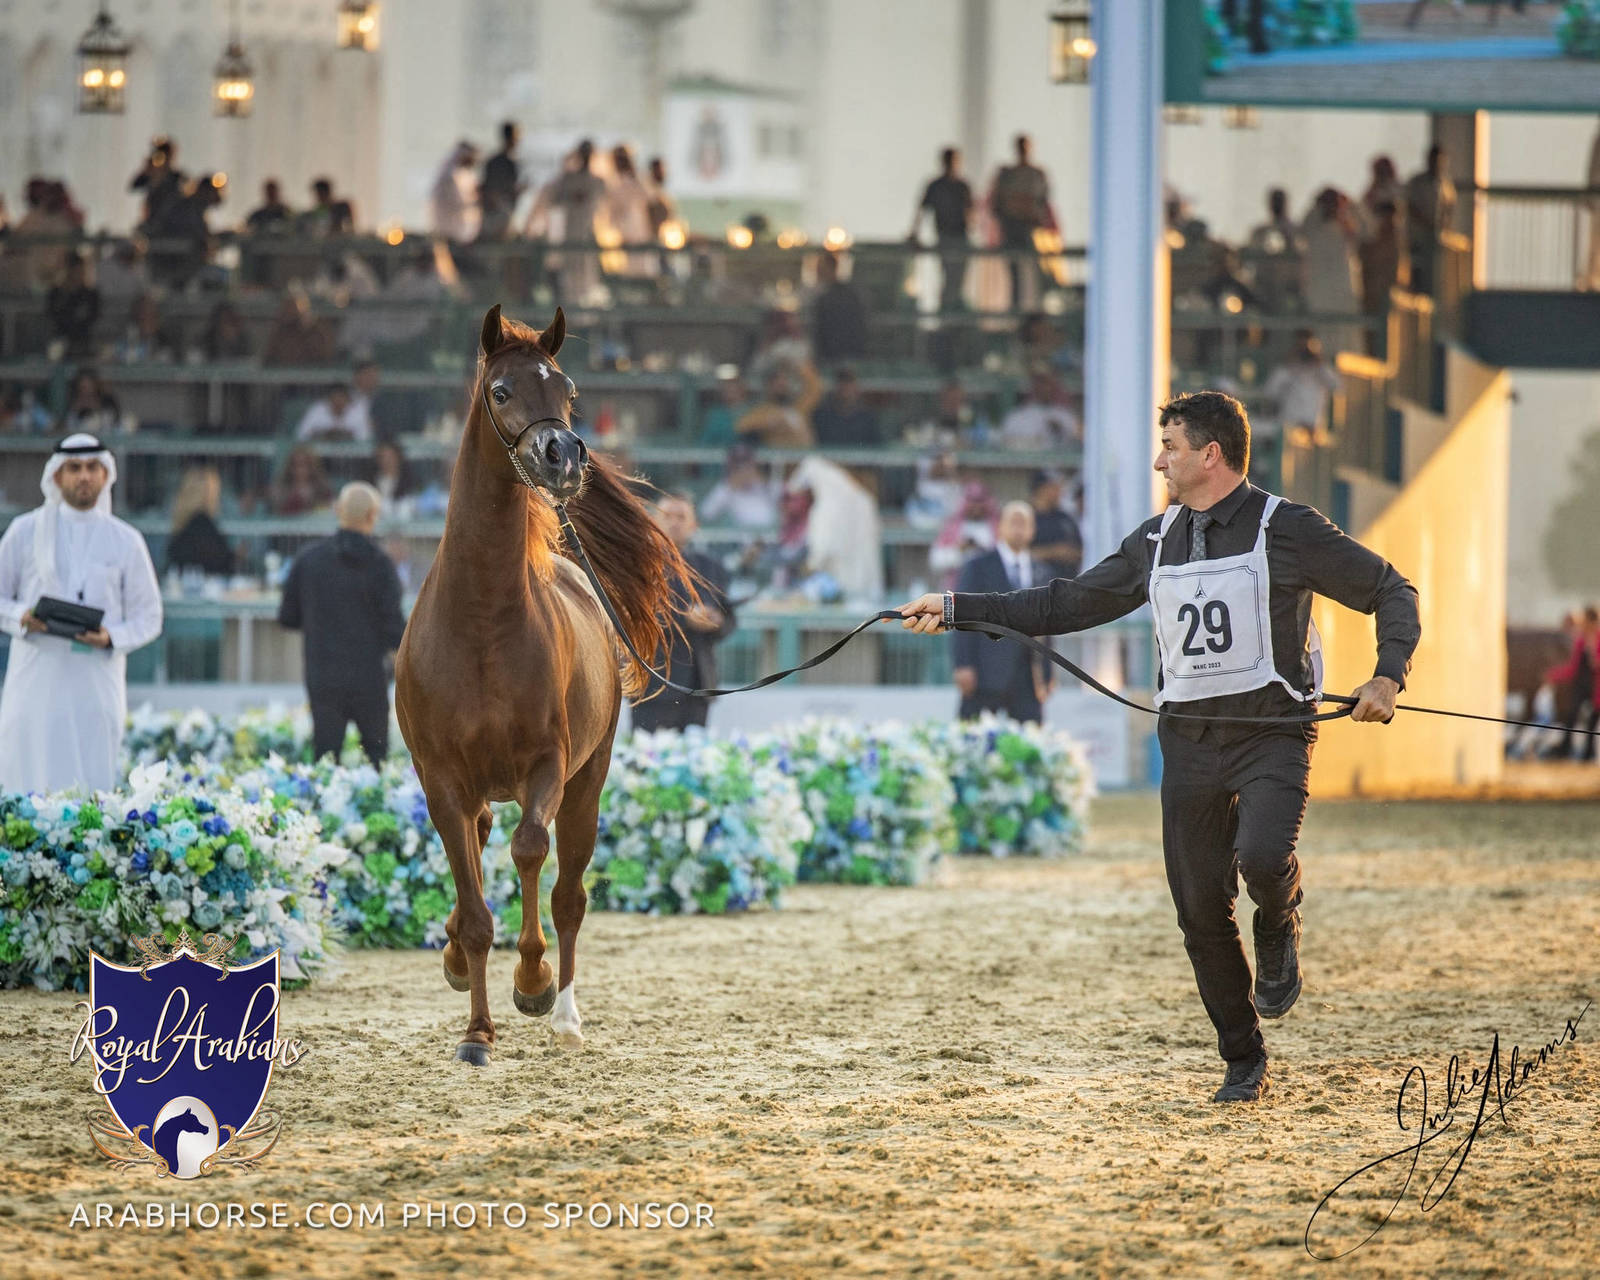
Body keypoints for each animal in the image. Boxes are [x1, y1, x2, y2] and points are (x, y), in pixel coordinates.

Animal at [395, 304, 693, 1065]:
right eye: (501, 391)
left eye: (567, 389)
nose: (564, 456)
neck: (480, 620)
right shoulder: (442, 779)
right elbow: (474, 904)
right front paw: (476, 1031)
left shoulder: (548, 765)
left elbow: (530, 853)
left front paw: (531, 982)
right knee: (480, 844)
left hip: (588, 782)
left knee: (565, 891)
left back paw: (563, 1012)